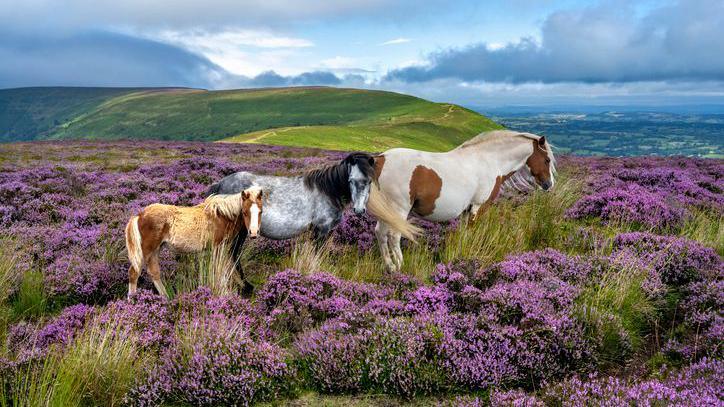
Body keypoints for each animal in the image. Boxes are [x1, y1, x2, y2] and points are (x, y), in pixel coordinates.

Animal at [125, 186, 264, 298]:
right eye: (244, 212)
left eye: (260, 211)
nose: (253, 233)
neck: (222, 215)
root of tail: (140, 215)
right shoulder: (218, 247)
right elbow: (221, 271)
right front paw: (223, 294)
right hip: (146, 250)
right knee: (134, 273)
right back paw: (132, 300)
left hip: (156, 249)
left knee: (154, 273)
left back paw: (165, 299)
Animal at [207, 152, 419, 289]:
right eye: (350, 180)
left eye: (368, 181)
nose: (359, 210)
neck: (329, 190)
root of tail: (220, 184)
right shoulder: (321, 230)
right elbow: (316, 256)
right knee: (233, 254)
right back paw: (246, 286)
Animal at [373, 130, 556, 271]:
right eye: (547, 160)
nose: (549, 184)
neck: (490, 160)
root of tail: (381, 159)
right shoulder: (478, 206)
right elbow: (471, 231)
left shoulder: (467, 210)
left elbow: (463, 233)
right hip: (399, 210)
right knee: (394, 236)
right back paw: (399, 266)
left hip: (387, 212)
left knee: (380, 233)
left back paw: (389, 267)